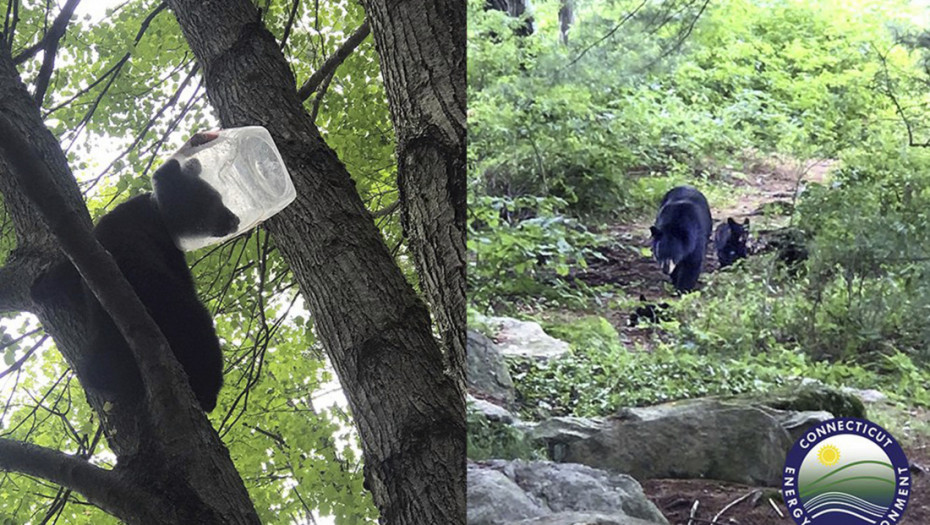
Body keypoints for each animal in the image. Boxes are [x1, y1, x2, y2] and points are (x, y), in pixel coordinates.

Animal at [35, 136, 239, 414]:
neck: (156, 211)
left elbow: (68, 272)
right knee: (198, 328)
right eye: (215, 198)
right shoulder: (165, 248)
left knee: (97, 369)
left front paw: (44, 285)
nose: (234, 219)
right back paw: (207, 391)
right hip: (170, 304)